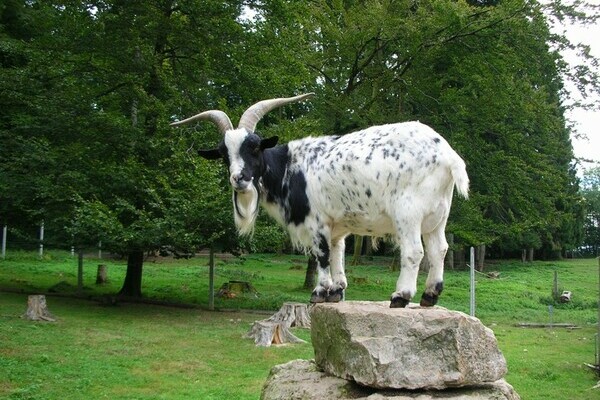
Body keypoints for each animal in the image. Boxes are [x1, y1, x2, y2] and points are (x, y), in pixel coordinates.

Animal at [171, 94, 472, 306]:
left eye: (254, 147)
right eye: (224, 154)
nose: (239, 178)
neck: (290, 167)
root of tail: (448, 155)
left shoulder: (317, 222)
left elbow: (322, 255)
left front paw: (319, 291)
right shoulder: (337, 227)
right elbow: (338, 254)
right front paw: (337, 291)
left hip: (408, 214)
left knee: (414, 252)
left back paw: (401, 296)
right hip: (438, 216)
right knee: (439, 249)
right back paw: (430, 296)